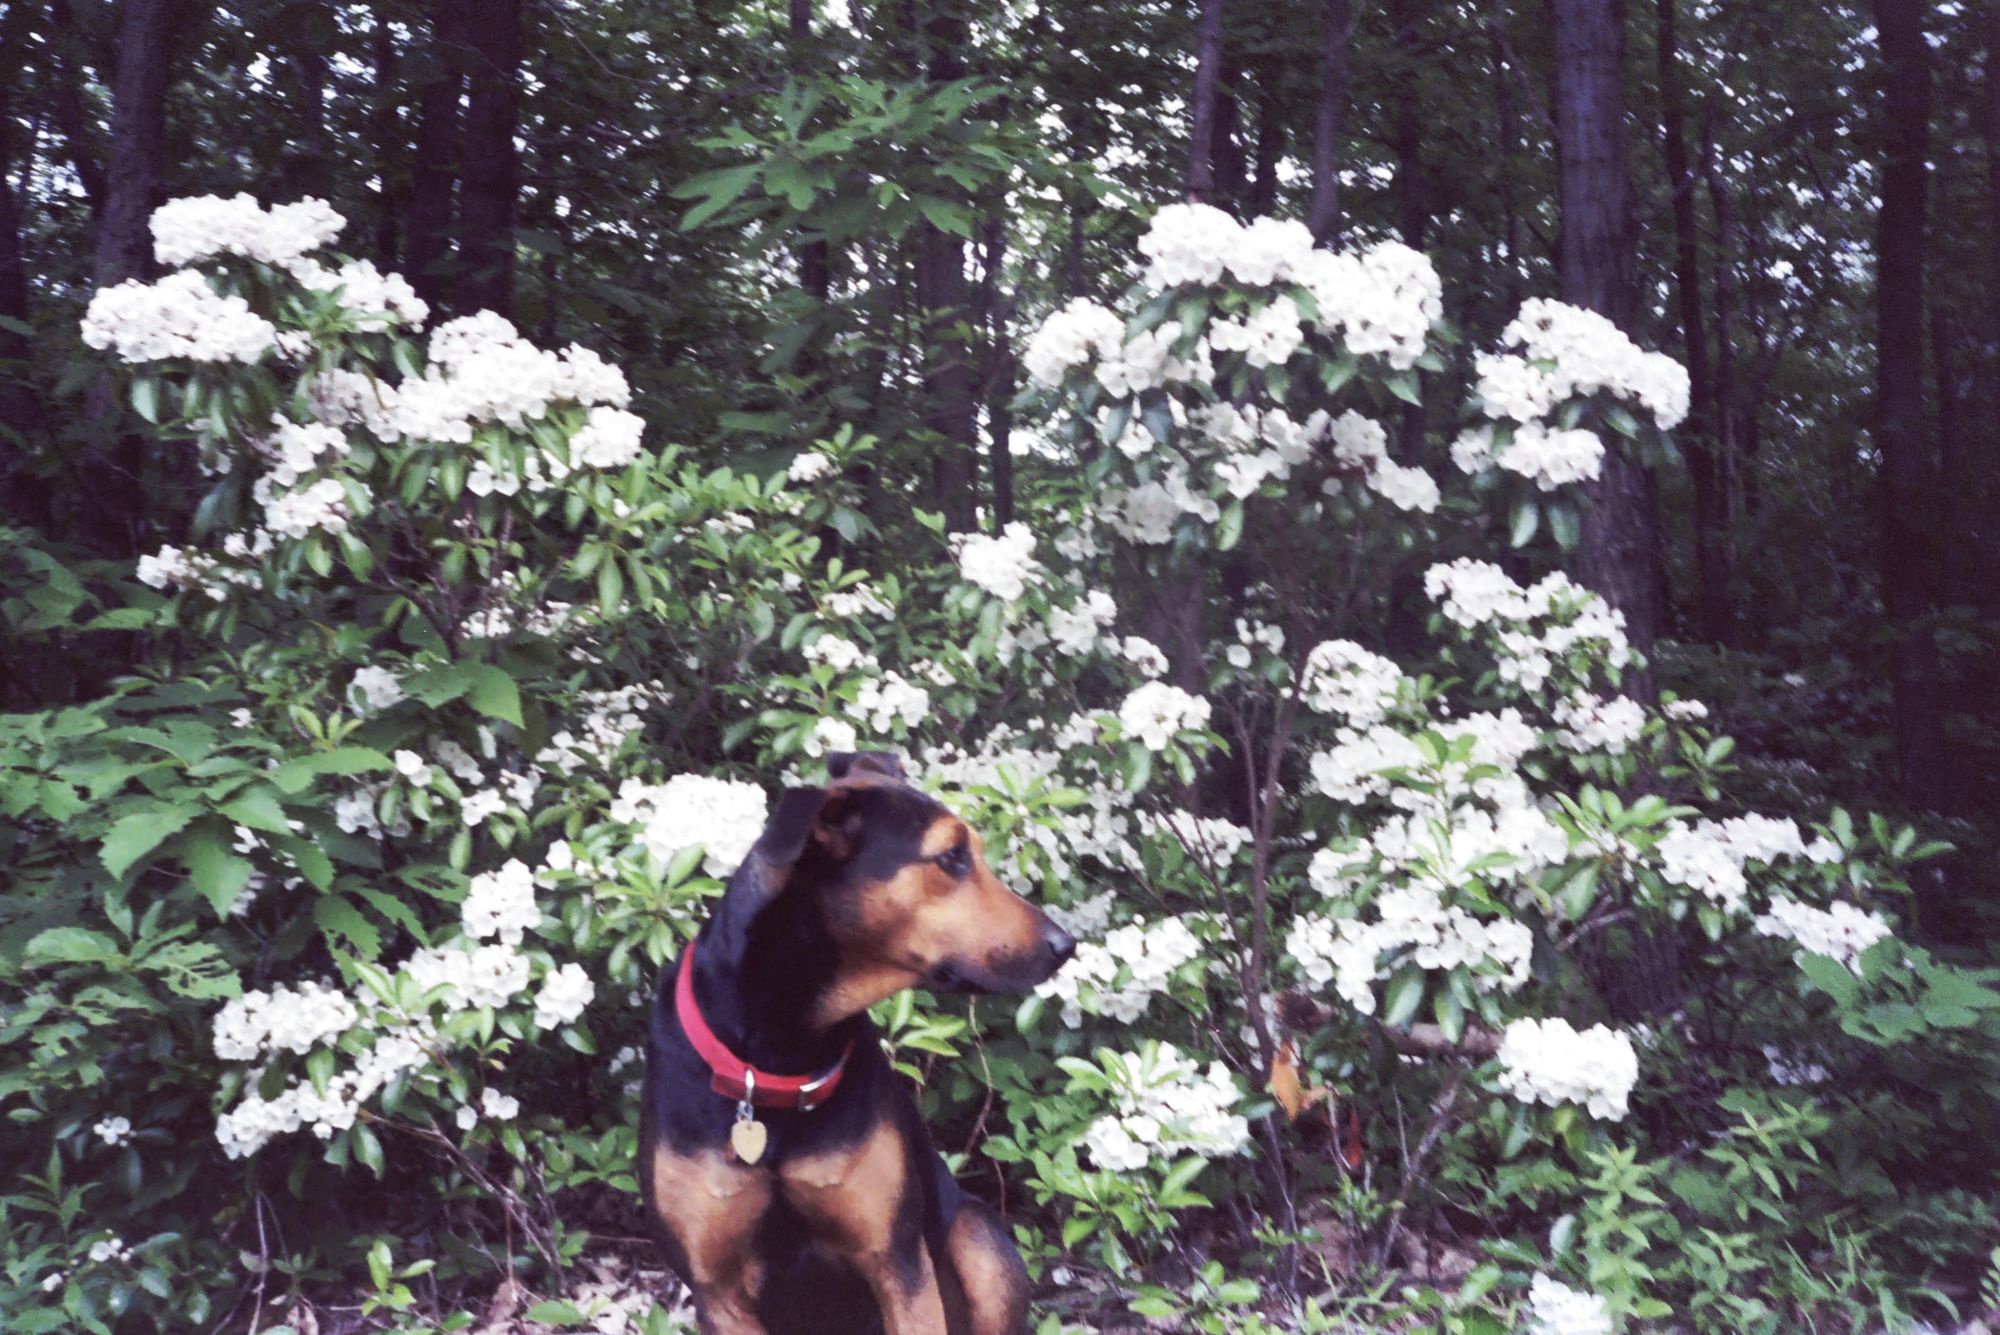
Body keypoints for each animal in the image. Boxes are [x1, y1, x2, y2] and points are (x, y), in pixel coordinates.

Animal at [640, 751, 1080, 1335]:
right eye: (951, 857)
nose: (1067, 945)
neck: (782, 1051)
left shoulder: (896, 1258)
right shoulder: (717, 1290)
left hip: (978, 1237)